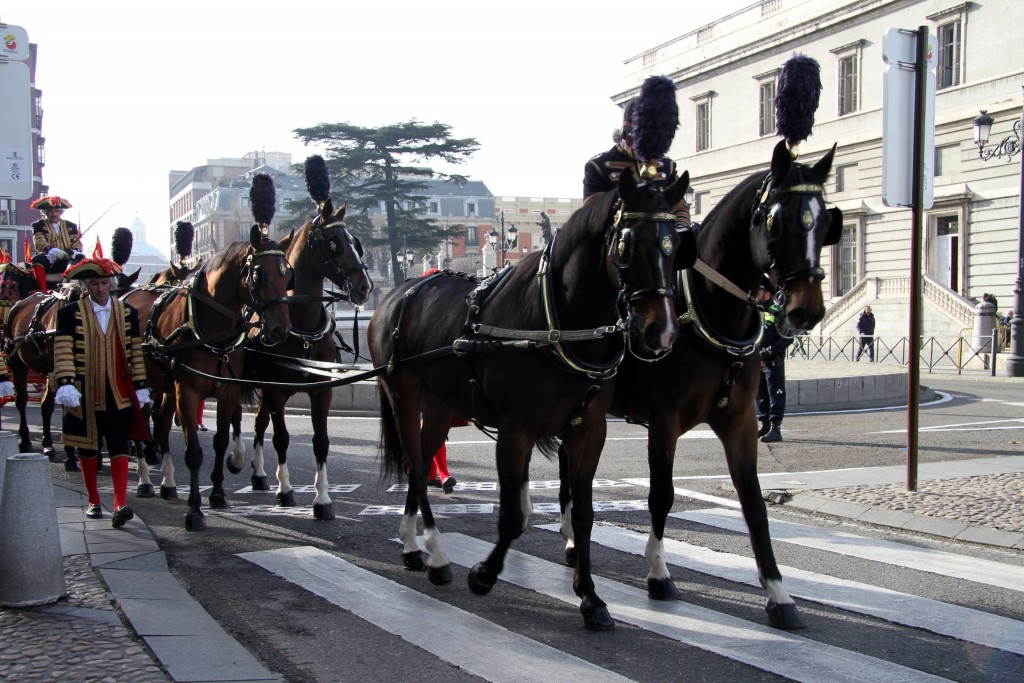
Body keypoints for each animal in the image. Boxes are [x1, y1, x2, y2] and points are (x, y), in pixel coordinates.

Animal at [122, 224, 296, 528]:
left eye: (287, 275)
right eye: (259, 275)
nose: (280, 330)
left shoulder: (226, 391)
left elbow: (220, 441)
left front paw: (217, 494)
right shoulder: (187, 392)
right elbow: (194, 453)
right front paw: (194, 509)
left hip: (166, 387)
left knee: (162, 425)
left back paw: (167, 483)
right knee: (140, 427)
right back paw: (144, 480)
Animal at [243, 200, 372, 520]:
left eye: (354, 242)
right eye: (334, 243)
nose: (365, 287)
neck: (302, 328)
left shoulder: (321, 391)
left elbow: (321, 442)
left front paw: (323, 500)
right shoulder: (275, 390)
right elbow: (281, 438)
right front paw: (285, 491)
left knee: (259, 422)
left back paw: (259, 474)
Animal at [368, 169, 688, 630]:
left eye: (676, 246)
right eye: (626, 244)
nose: (661, 333)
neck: (557, 322)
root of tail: (399, 292)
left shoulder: (588, 432)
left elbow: (583, 514)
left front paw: (590, 598)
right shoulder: (515, 431)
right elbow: (512, 516)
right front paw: (484, 575)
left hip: (442, 407)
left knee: (421, 461)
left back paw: (414, 545)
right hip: (404, 398)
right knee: (413, 464)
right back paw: (435, 556)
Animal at [565, 139, 843, 630]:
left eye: (827, 221)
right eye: (776, 221)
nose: (805, 311)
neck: (709, 313)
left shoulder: (740, 424)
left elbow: (754, 505)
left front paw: (778, 594)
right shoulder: (664, 424)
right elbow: (661, 496)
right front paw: (658, 573)